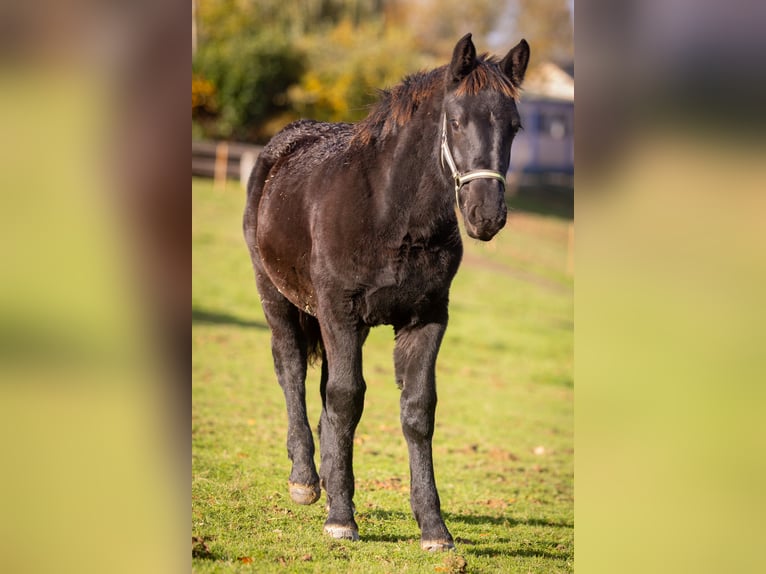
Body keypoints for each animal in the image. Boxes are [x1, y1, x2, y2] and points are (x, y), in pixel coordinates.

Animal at [243, 33, 529, 551]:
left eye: (514, 127)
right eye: (456, 121)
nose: (486, 215)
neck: (392, 216)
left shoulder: (426, 319)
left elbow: (416, 410)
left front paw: (434, 527)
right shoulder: (339, 312)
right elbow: (346, 398)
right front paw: (341, 518)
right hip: (277, 298)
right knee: (291, 371)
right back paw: (305, 480)